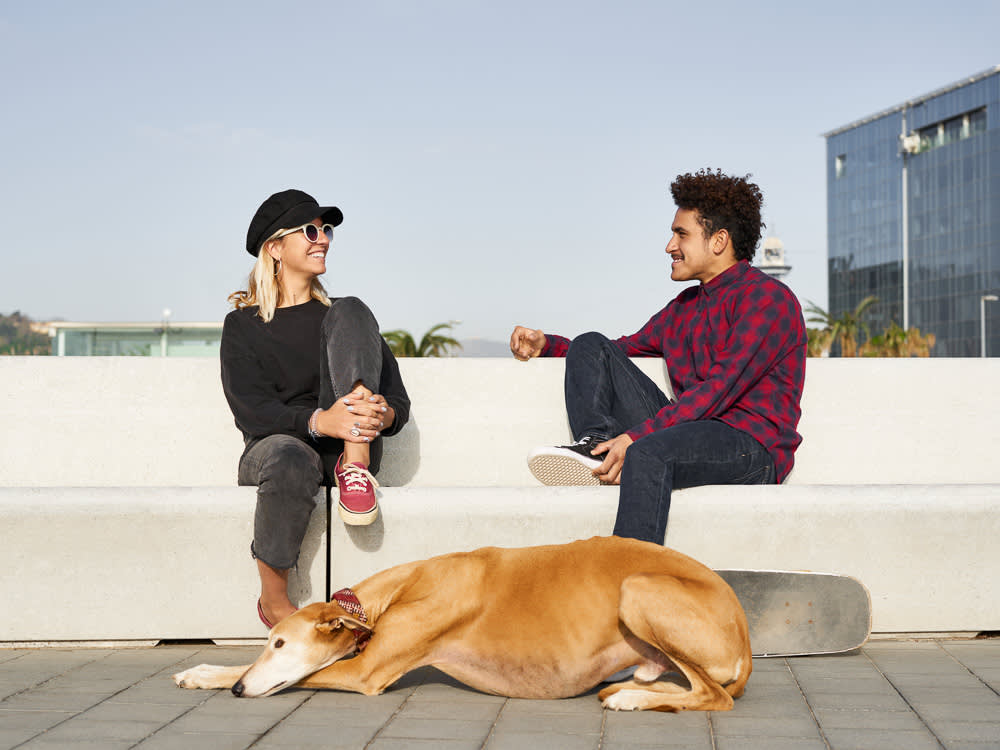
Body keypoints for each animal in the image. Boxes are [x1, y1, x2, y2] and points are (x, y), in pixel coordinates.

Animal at [174, 536, 752, 712]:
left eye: (279, 642)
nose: (242, 693)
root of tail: (744, 633)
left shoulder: (365, 674)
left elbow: (309, 675)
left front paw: (219, 677)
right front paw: (204, 672)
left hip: (638, 589)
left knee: (713, 696)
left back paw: (631, 698)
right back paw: (636, 687)